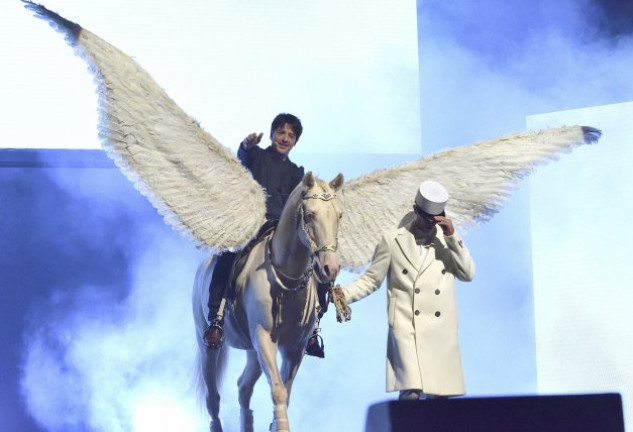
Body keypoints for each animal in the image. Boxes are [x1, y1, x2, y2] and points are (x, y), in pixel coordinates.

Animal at [191, 172, 340, 432]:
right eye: (310, 215)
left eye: (339, 216)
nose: (330, 268)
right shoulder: (264, 338)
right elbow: (278, 390)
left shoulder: (294, 349)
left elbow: (286, 392)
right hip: (207, 344)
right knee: (213, 397)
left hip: (252, 351)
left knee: (243, 387)